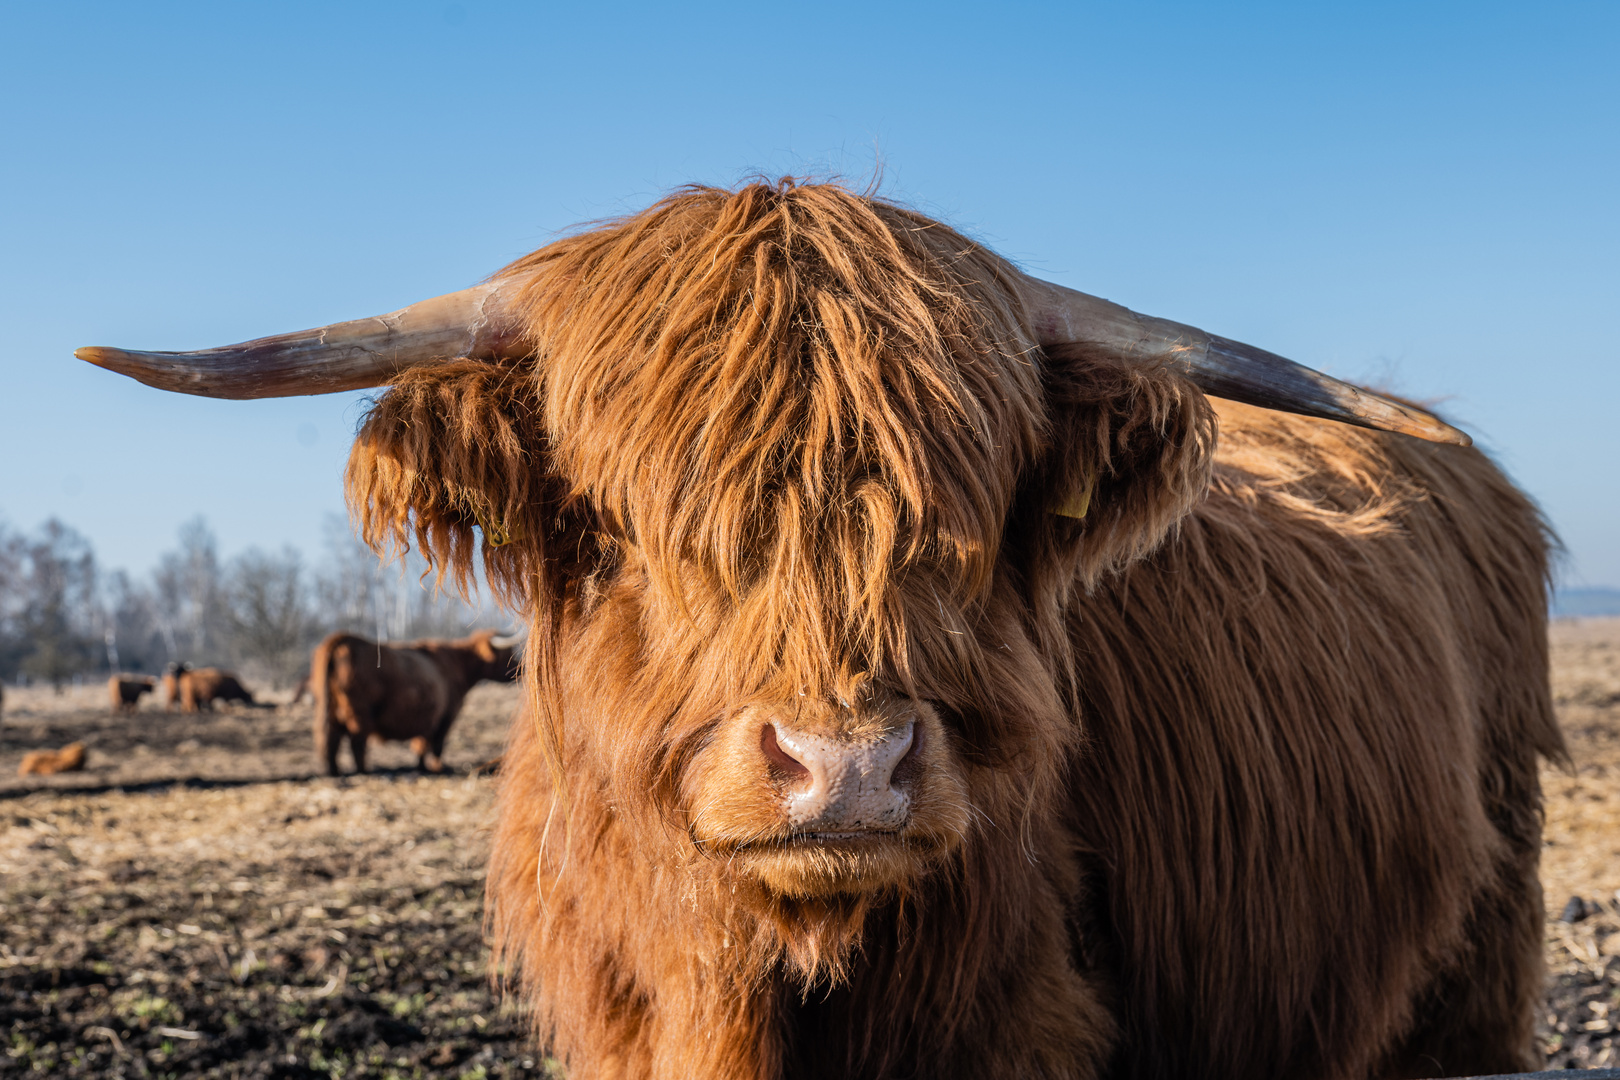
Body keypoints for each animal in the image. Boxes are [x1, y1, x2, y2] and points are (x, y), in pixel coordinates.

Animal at [309, 628, 518, 773]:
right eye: (508, 654)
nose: (521, 669)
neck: (456, 663)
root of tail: (344, 637)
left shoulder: (426, 719)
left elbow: (421, 745)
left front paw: (422, 767)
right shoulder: (446, 716)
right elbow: (436, 745)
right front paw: (436, 768)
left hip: (330, 710)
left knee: (331, 741)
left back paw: (334, 772)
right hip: (359, 713)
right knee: (356, 743)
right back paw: (363, 771)